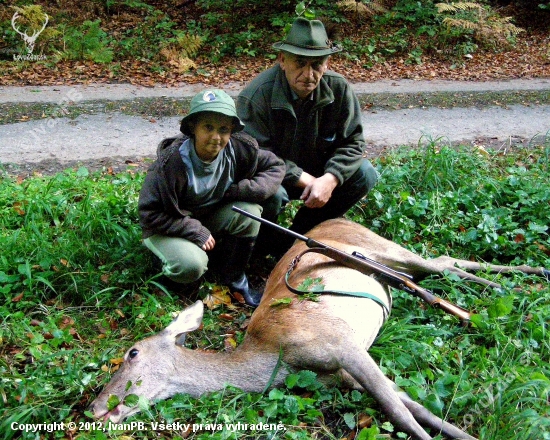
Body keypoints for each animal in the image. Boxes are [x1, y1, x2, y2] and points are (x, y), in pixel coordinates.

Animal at [88, 218, 548, 438]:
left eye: (132, 353)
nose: (94, 408)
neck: (276, 360)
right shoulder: (343, 375)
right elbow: (415, 408)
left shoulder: (343, 344)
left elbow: (401, 416)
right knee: (443, 265)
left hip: (382, 246)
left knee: (439, 261)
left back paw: (518, 279)